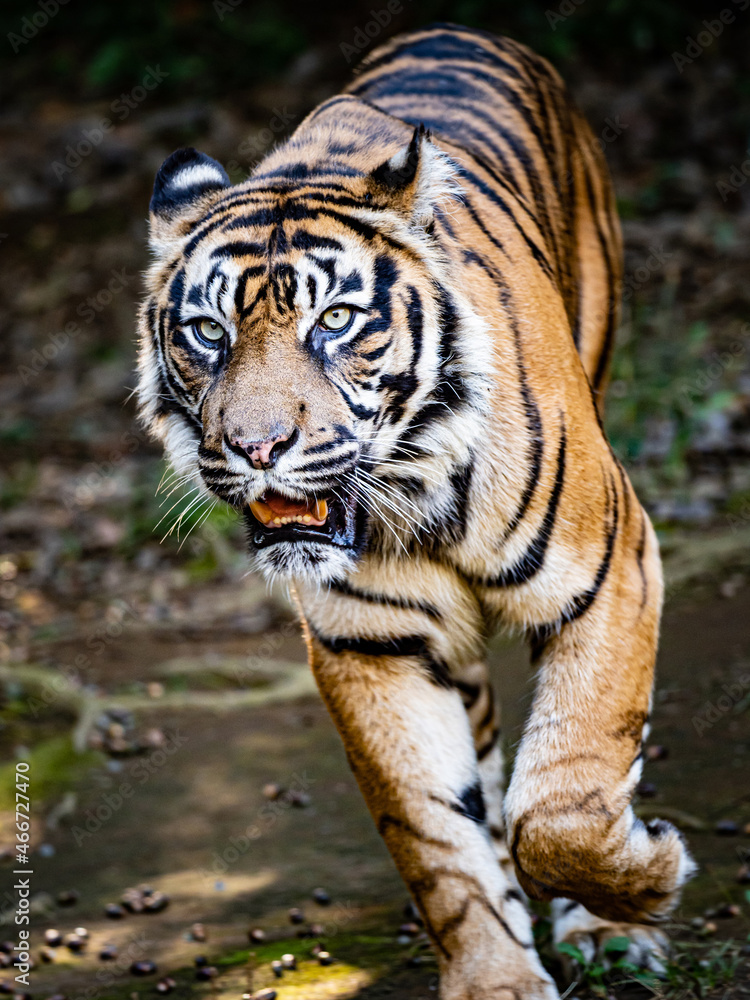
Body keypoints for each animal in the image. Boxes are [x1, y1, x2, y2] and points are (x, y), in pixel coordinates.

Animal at [136, 23, 696, 999]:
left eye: (335, 321)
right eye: (208, 332)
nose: (255, 446)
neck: (410, 491)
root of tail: (457, 28)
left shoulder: (610, 567)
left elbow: (570, 797)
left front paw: (642, 885)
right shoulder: (372, 642)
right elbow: (436, 835)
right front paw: (497, 979)